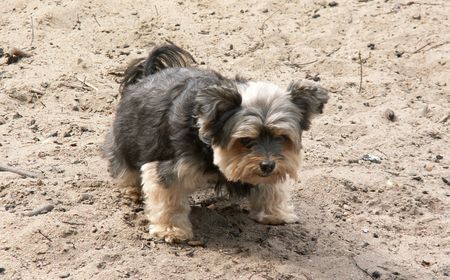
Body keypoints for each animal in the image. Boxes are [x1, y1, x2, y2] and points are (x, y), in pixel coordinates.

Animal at [103, 43, 328, 243]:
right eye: (246, 140)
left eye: (282, 137)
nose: (267, 165)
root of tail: (147, 74)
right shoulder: (167, 167)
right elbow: (169, 199)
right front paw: (171, 230)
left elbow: (270, 187)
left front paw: (275, 213)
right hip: (128, 138)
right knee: (124, 165)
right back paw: (132, 189)